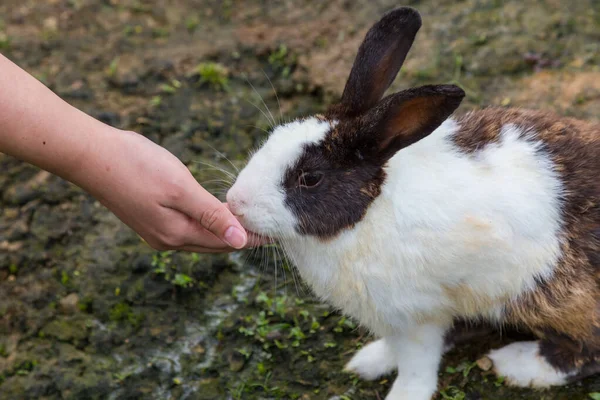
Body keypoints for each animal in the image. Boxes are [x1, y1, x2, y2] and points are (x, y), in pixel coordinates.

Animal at [225, 6, 600, 400]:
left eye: (310, 178)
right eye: (273, 137)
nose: (235, 202)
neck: (370, 211)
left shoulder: (414, 315)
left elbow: (417, 363)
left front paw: (404, 392)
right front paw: (371, 361)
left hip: (558, 297)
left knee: (588, 349)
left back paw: (516, 364)